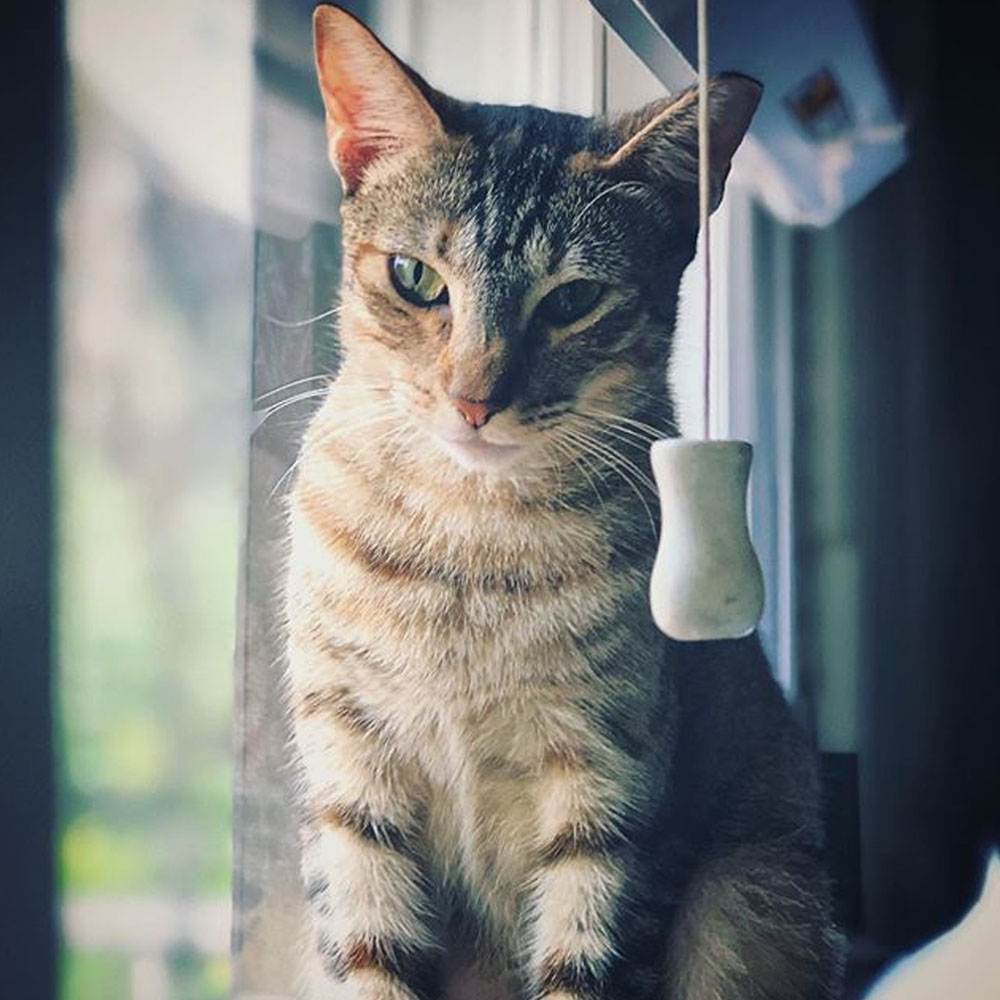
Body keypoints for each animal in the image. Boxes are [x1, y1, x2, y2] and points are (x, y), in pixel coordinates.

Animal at [283, 5, 844, 998]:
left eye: (574, 298)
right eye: (415, 276)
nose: (474, 400)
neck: (466, 546)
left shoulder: (612, 797)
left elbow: (583, 959)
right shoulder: (351, 780)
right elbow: (371, 953)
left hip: (749, 892)